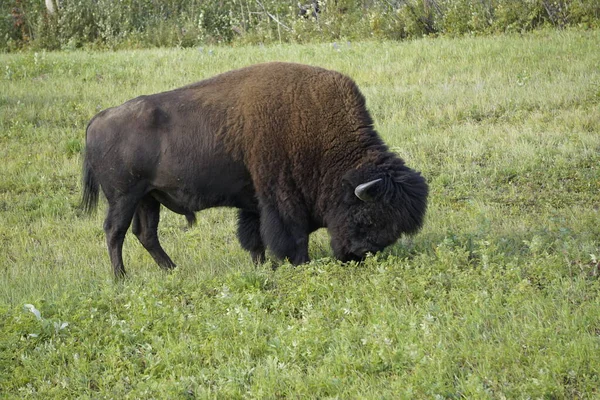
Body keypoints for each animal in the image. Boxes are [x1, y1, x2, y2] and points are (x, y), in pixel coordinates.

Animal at [82, 61, 428, 278]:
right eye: (367, 216)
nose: (357, 255)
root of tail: (97, 119)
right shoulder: (281, 199)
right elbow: (290, 237)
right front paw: (298, 265)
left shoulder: (254, 203)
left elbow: (254, 238)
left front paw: (261, 266)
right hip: (124, 197)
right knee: (115, 232)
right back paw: (121, 278)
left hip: (148, 198)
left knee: (146, 234)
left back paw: (172, 270)